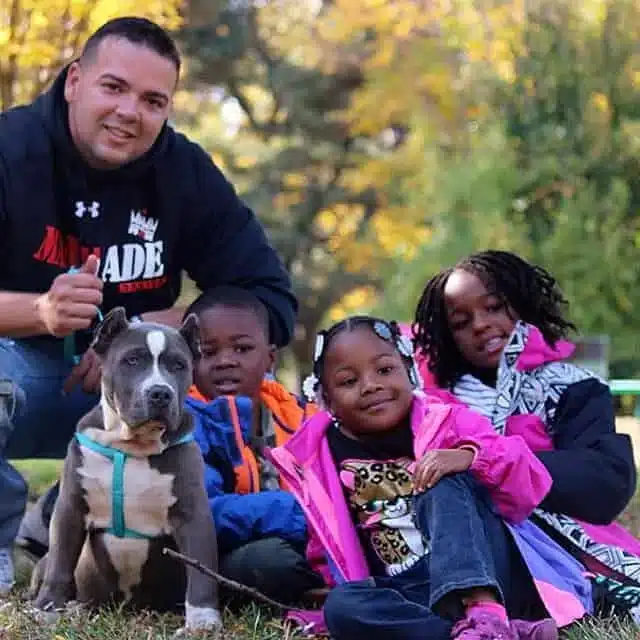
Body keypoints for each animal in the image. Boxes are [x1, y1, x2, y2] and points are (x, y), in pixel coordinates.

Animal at [31, 306, 224, 636]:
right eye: (132, 360)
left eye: (178, 365)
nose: (160, 393)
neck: (131, 445)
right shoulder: (70, 507)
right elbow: (60, 562)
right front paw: (48, 611)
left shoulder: (192, 514)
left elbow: (202, 571)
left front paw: (202, 621)